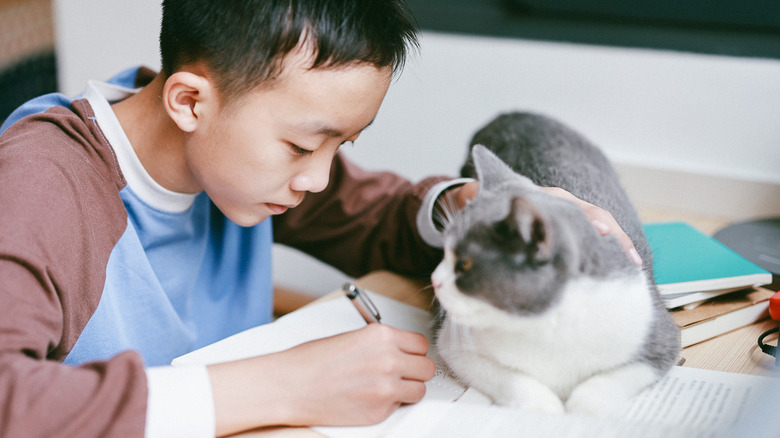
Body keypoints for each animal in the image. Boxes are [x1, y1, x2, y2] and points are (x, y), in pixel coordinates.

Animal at [430, 111, 680, 416]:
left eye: (464, 264)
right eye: (444, 252)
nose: (434, 280)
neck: (547, 323)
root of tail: (517, 114)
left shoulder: (658, 333)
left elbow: (614, 380)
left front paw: (583, 409)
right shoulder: (456, 345)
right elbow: (511, 379)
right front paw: (543, 406)